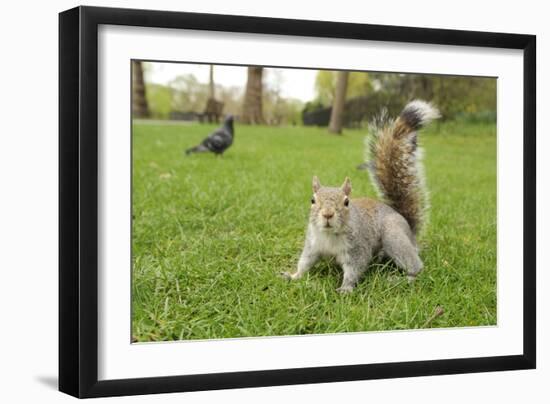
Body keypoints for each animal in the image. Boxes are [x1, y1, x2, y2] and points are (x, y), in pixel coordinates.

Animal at [284, 99, 440, 292]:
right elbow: (305, 263)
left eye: (346, 202)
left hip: (393, 236)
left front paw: (345, 288)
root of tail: (409, 228)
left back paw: (404, 278)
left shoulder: (358, 248)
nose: (327, 214)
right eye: (312, 200)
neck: (330, 235)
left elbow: (355, 268)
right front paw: (293, 276)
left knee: (415, 265)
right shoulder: (313, 245)